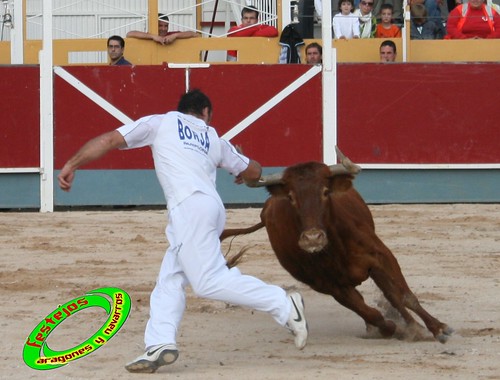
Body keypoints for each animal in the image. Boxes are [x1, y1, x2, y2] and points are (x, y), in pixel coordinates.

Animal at [223, 148, 454, 344]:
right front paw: (392, 328)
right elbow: (370, 312)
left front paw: (438, 328)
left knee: (393, 296)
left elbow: (404, 296)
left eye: (325, 192)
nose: (312, 238)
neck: (335, 248)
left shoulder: (381, 257)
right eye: (291, 197)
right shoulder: (331, 286)